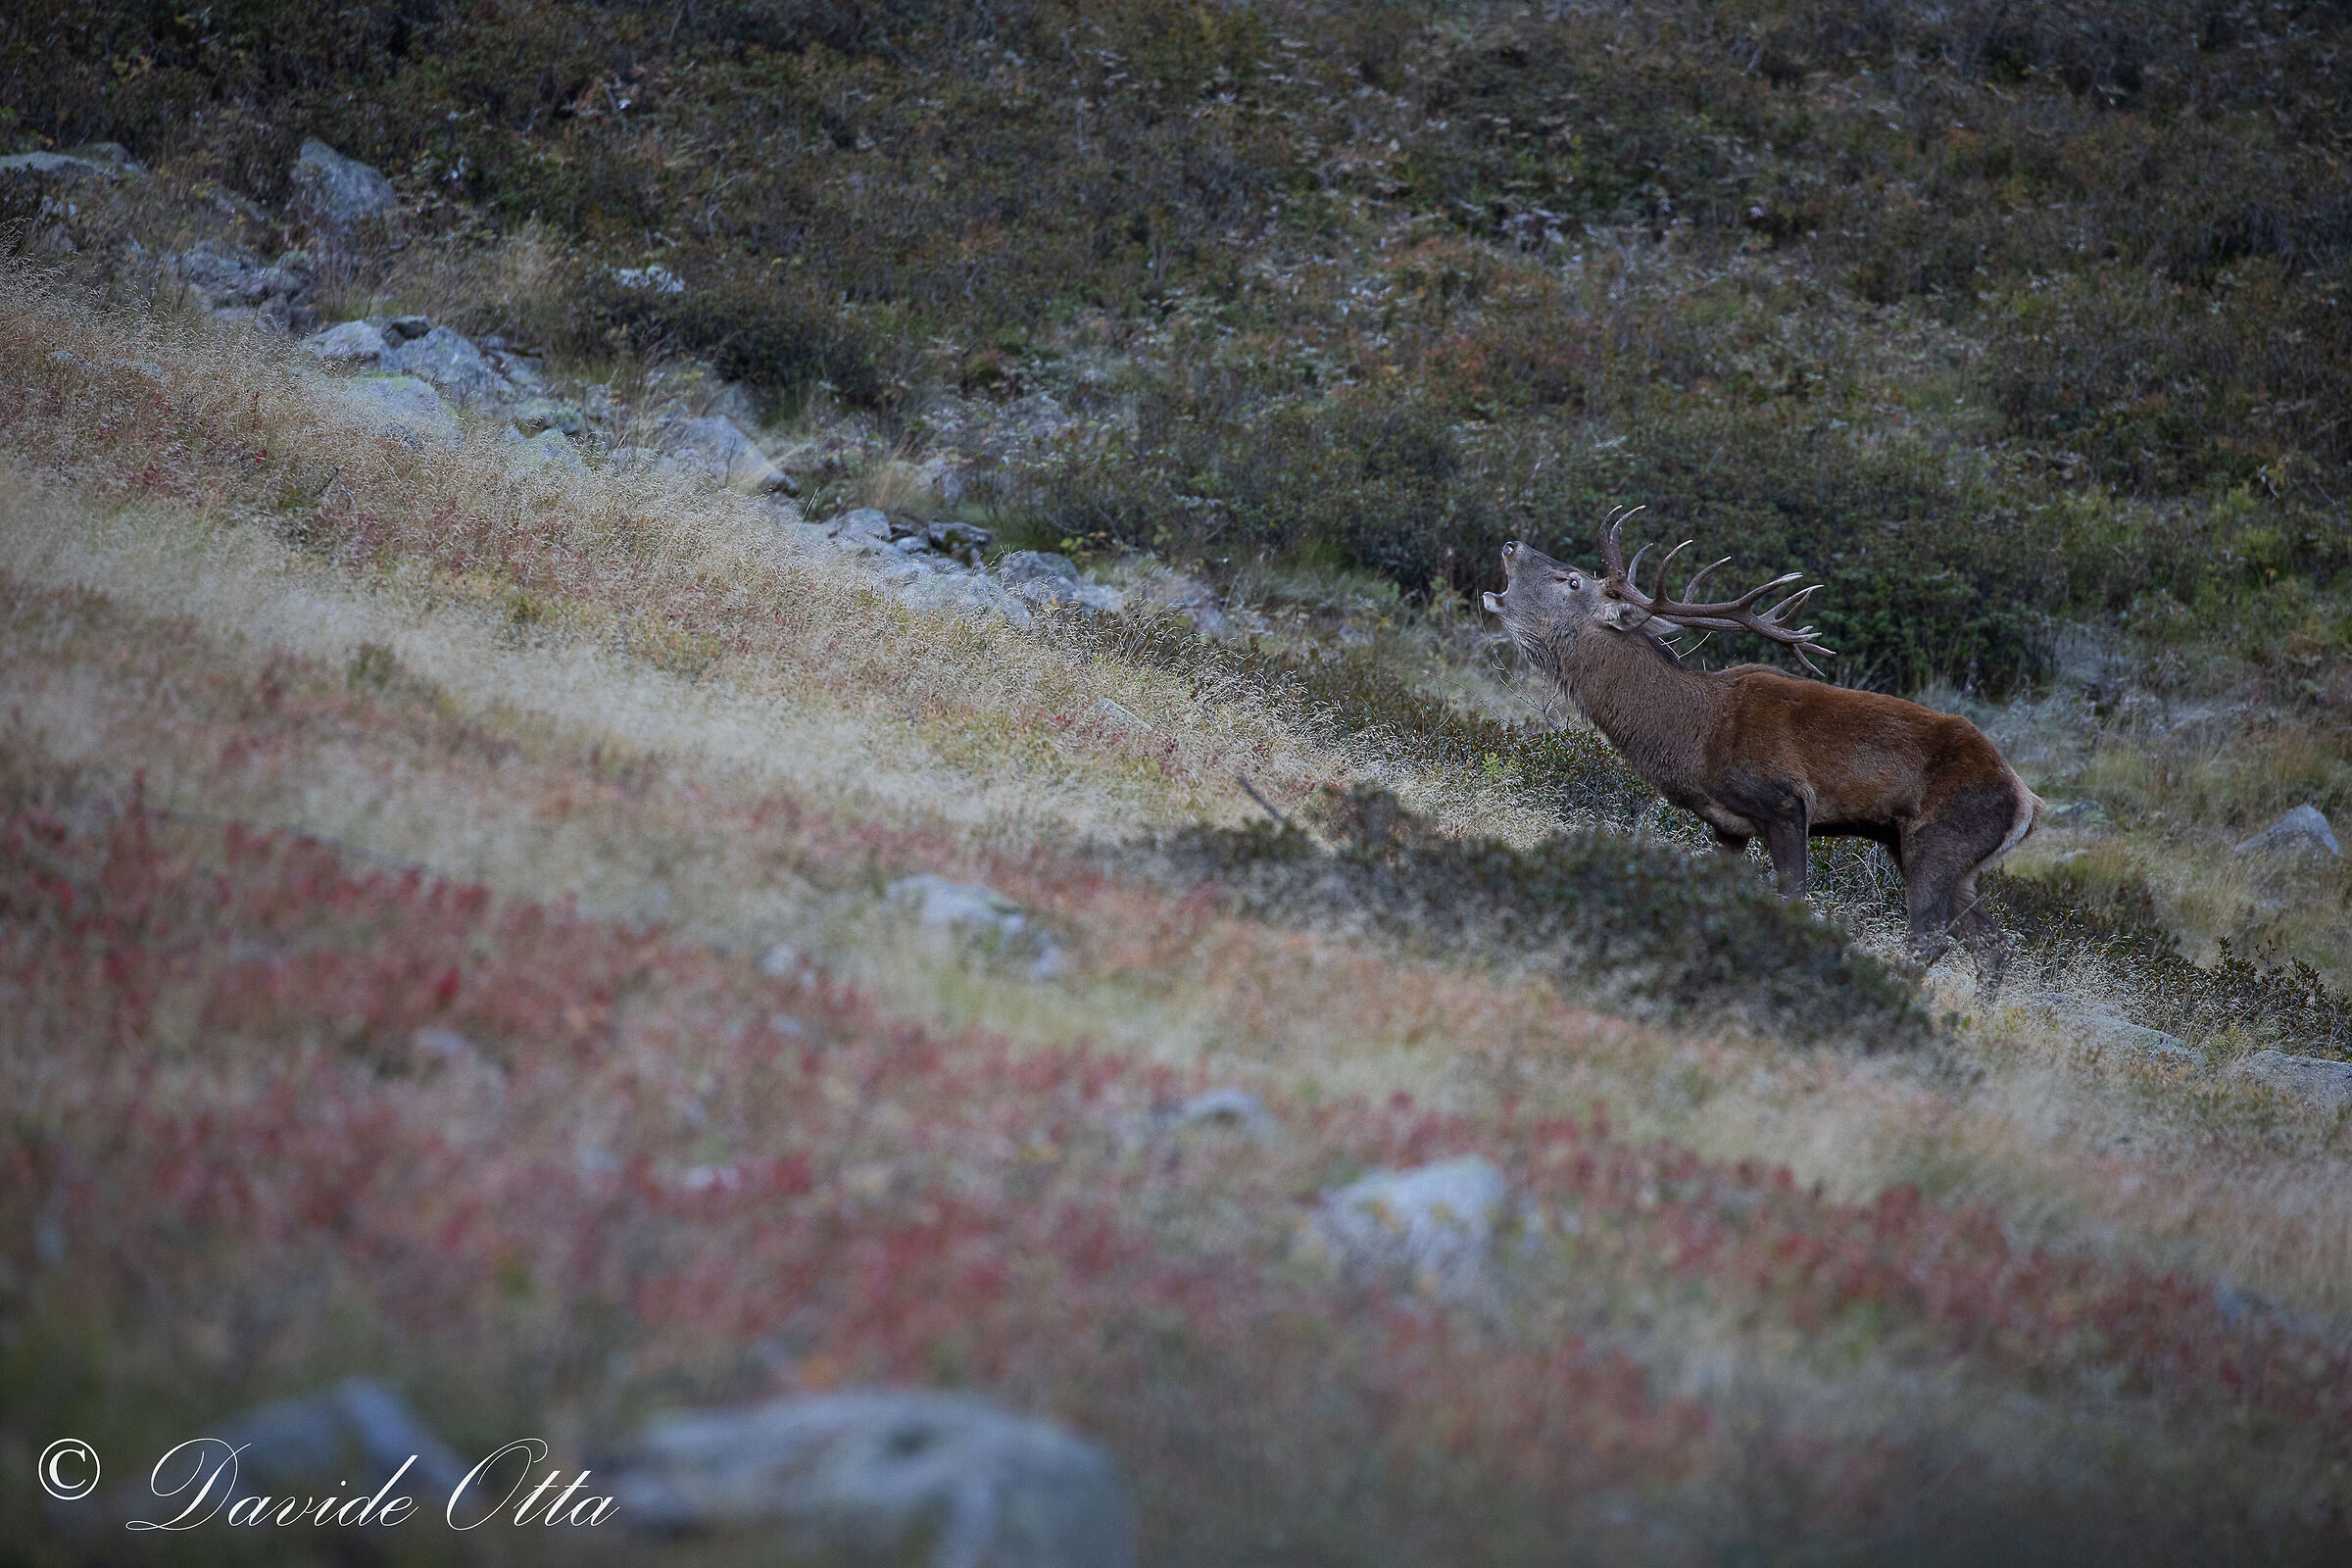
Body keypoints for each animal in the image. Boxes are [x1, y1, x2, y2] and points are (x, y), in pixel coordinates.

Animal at [1482, 511, 2043, 995]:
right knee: (1993, 945)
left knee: (1930, 941)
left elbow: (1792, 898)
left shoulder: (1785, 804)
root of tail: (2027, 802)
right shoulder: (1726, 826)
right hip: (1945, 859)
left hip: (1940, 840)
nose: (1509, 545)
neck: (1696, 736)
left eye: (1573, 581)